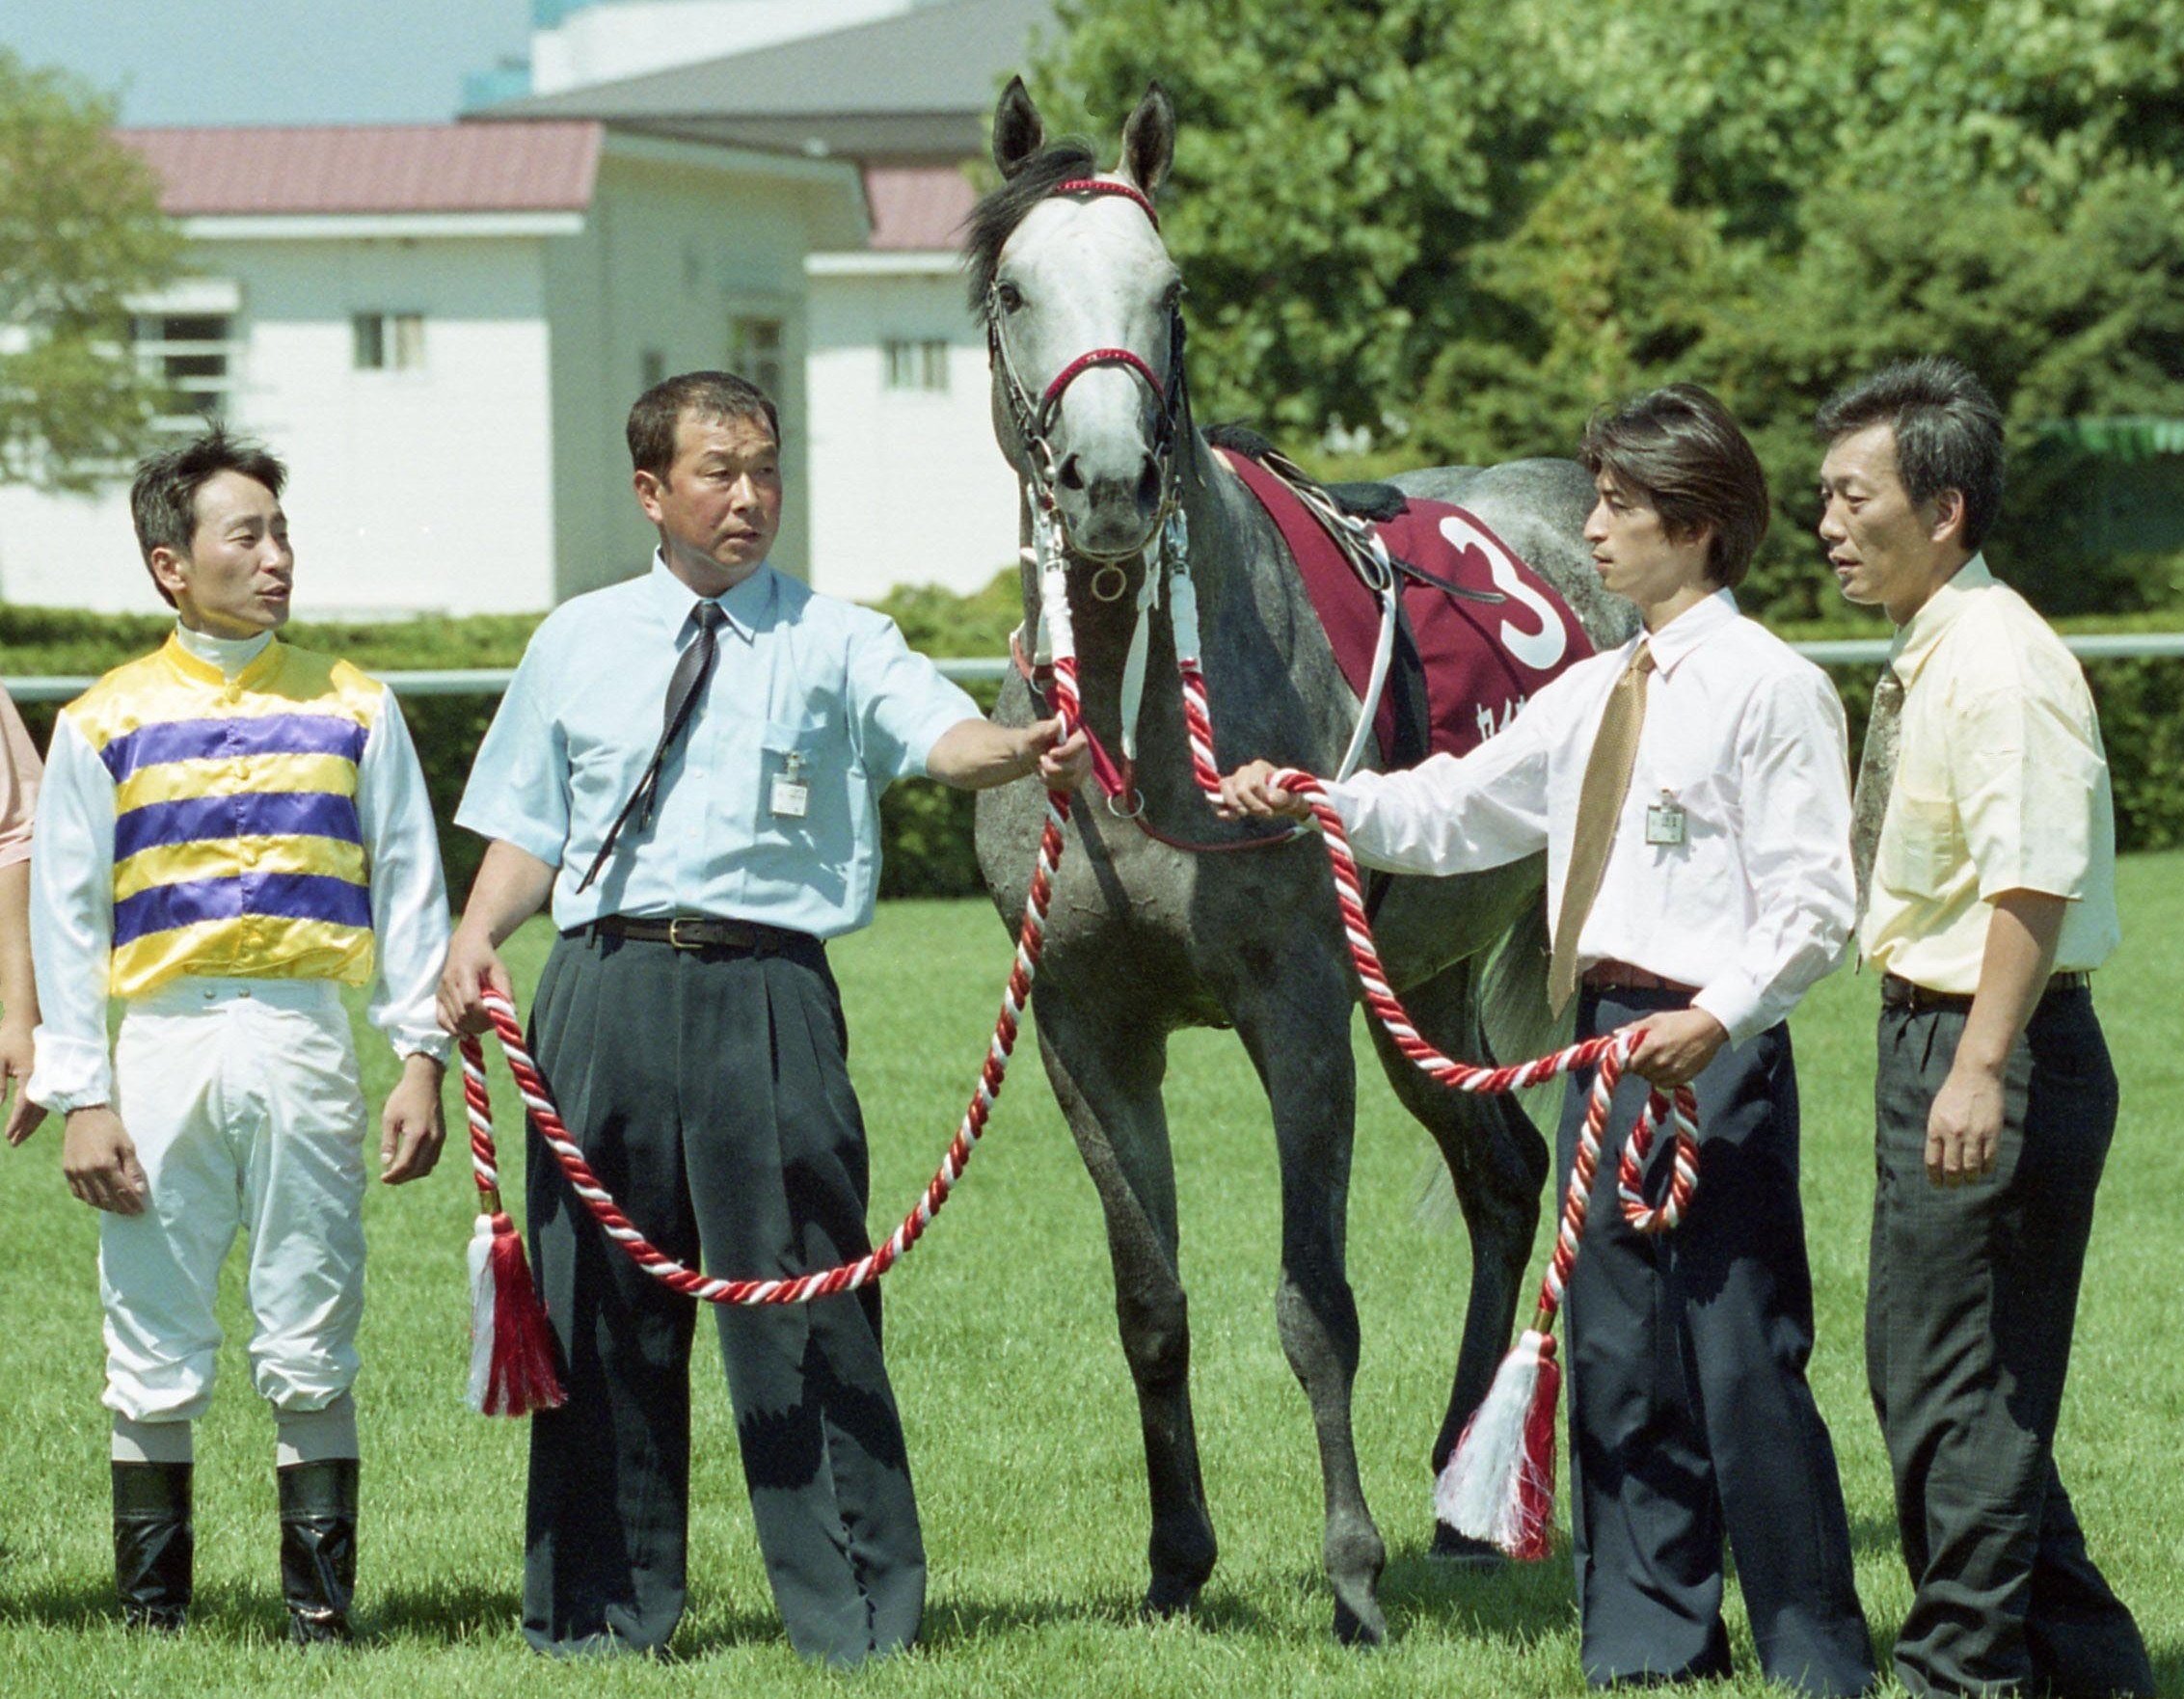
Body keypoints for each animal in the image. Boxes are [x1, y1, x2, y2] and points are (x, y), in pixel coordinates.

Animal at [974, 83, 1642, 1642]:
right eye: (1015, 289)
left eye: (1171, 292)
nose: (1109, 483)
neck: (1144, 736)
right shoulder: (1087, 1030)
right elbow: (1150, 1303)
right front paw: (1177, 1559)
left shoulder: (1297, 1016)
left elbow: (1311, 1303)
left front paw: (1349, 1575)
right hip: (1422, 987)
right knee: (1504, 1178)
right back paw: (1463, 1486)